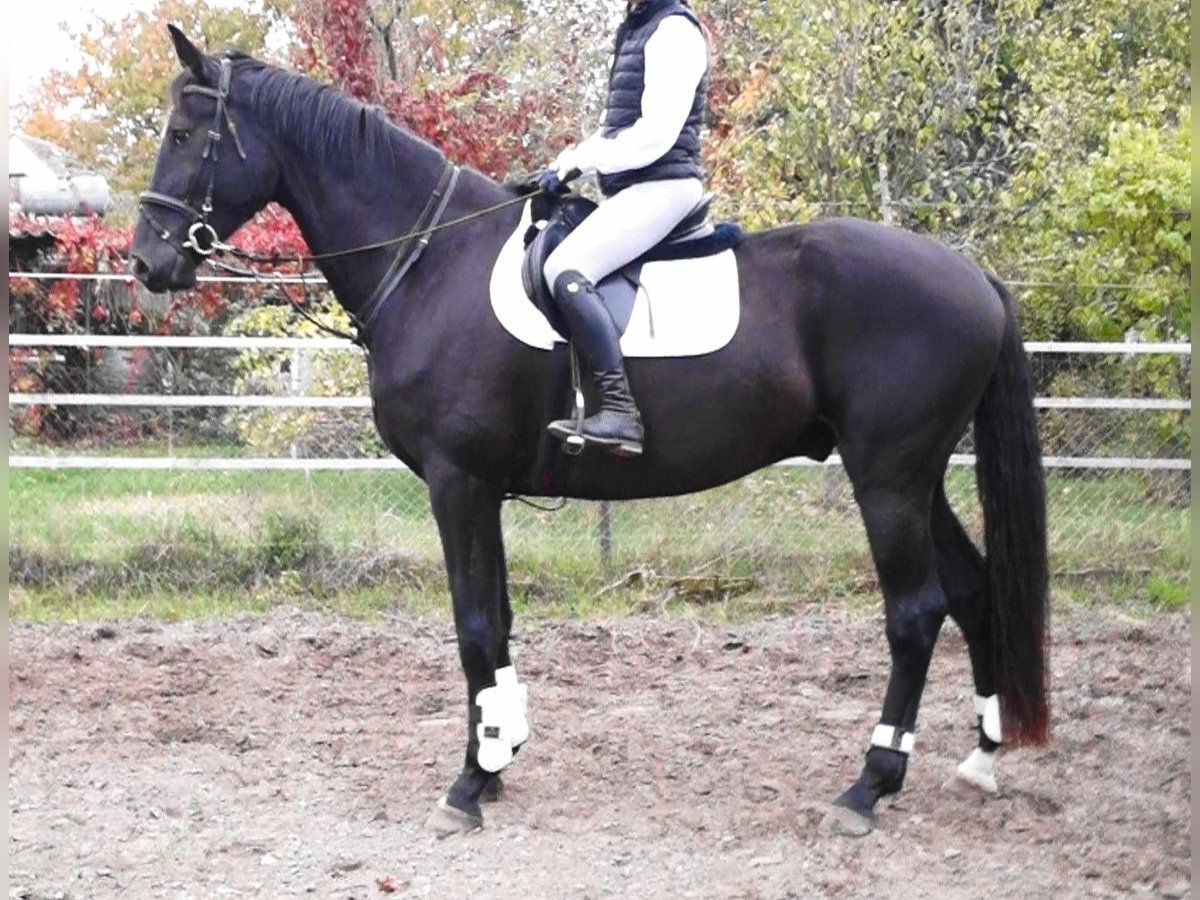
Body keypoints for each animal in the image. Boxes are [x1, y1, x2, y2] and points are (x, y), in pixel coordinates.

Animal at [131, 28, 1046, 835]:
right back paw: (980, 758)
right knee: (971, 591)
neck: (428, 261)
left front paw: (468, 785)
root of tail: (971, 275)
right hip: (915, 478)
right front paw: (497, 759)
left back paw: (868, 786)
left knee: (916, 613)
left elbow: (472, 627)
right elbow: (497, 620)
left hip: (886, 477)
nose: (147, 262)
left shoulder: (458, 482)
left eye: (184, 133)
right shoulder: (484, 490)